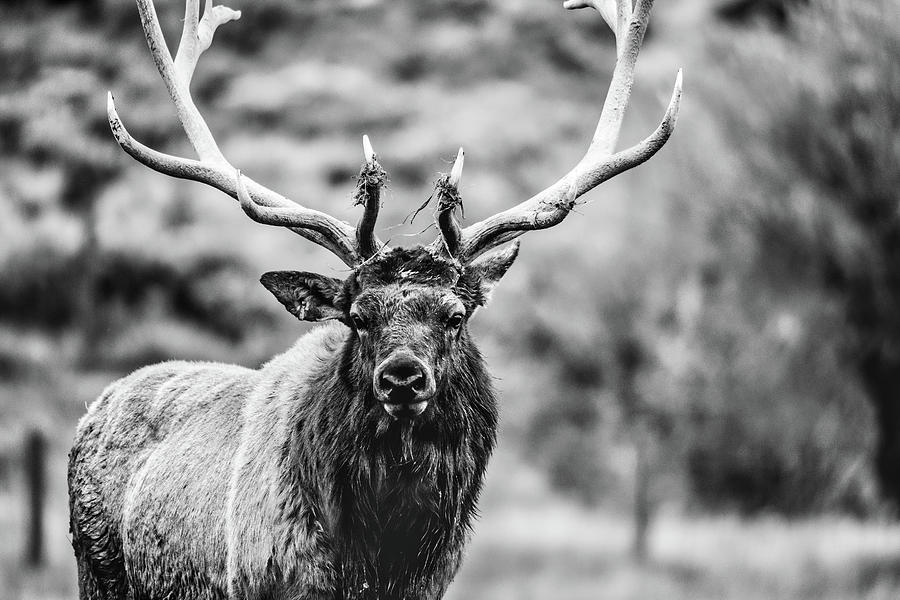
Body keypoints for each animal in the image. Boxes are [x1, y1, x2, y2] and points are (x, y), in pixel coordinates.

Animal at [67, 1, 680, 600]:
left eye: (456, 315)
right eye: (357, 319)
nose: (402, 377)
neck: (377, 562)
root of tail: (94, 407)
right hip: (96, 568)